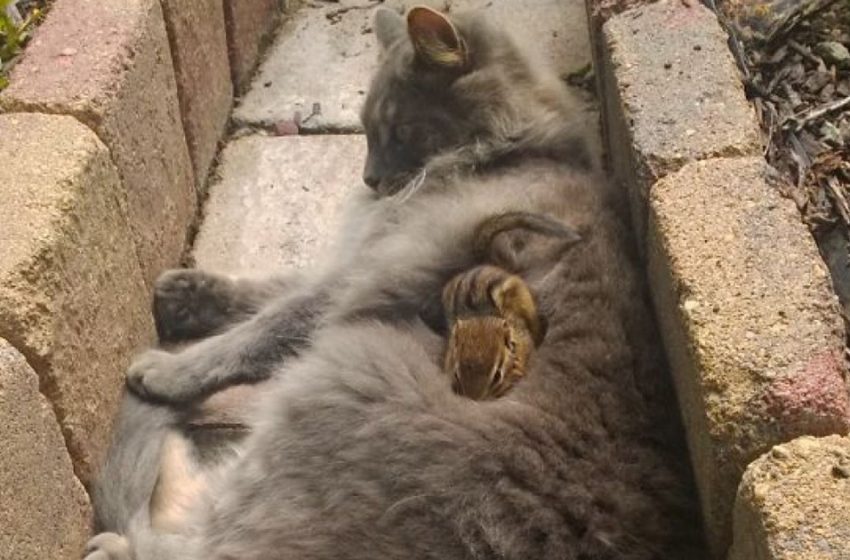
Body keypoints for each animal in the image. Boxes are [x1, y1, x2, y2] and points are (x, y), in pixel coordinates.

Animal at [86, 5, 704, 560]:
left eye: (401, 129)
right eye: (362, 132)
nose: (369, 179)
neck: (512, 151)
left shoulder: (378, 269)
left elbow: (266, 324)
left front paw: (170, 370)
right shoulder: (359, 258)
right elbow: (270, 290)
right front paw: (185, 295)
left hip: (335, 381)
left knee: (187, 536)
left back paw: (120, 526)